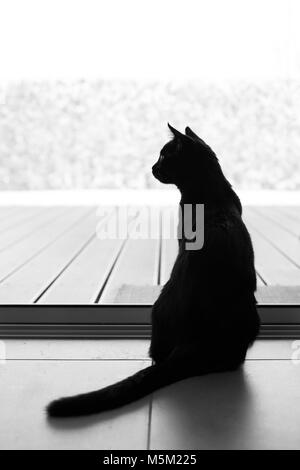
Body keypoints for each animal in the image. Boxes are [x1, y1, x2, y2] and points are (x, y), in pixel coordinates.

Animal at [47, 123, 260, 416]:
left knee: (158, 355)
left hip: (158, 307)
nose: (152, 167)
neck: (209, 190)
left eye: (163, 156)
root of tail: (194, 342)